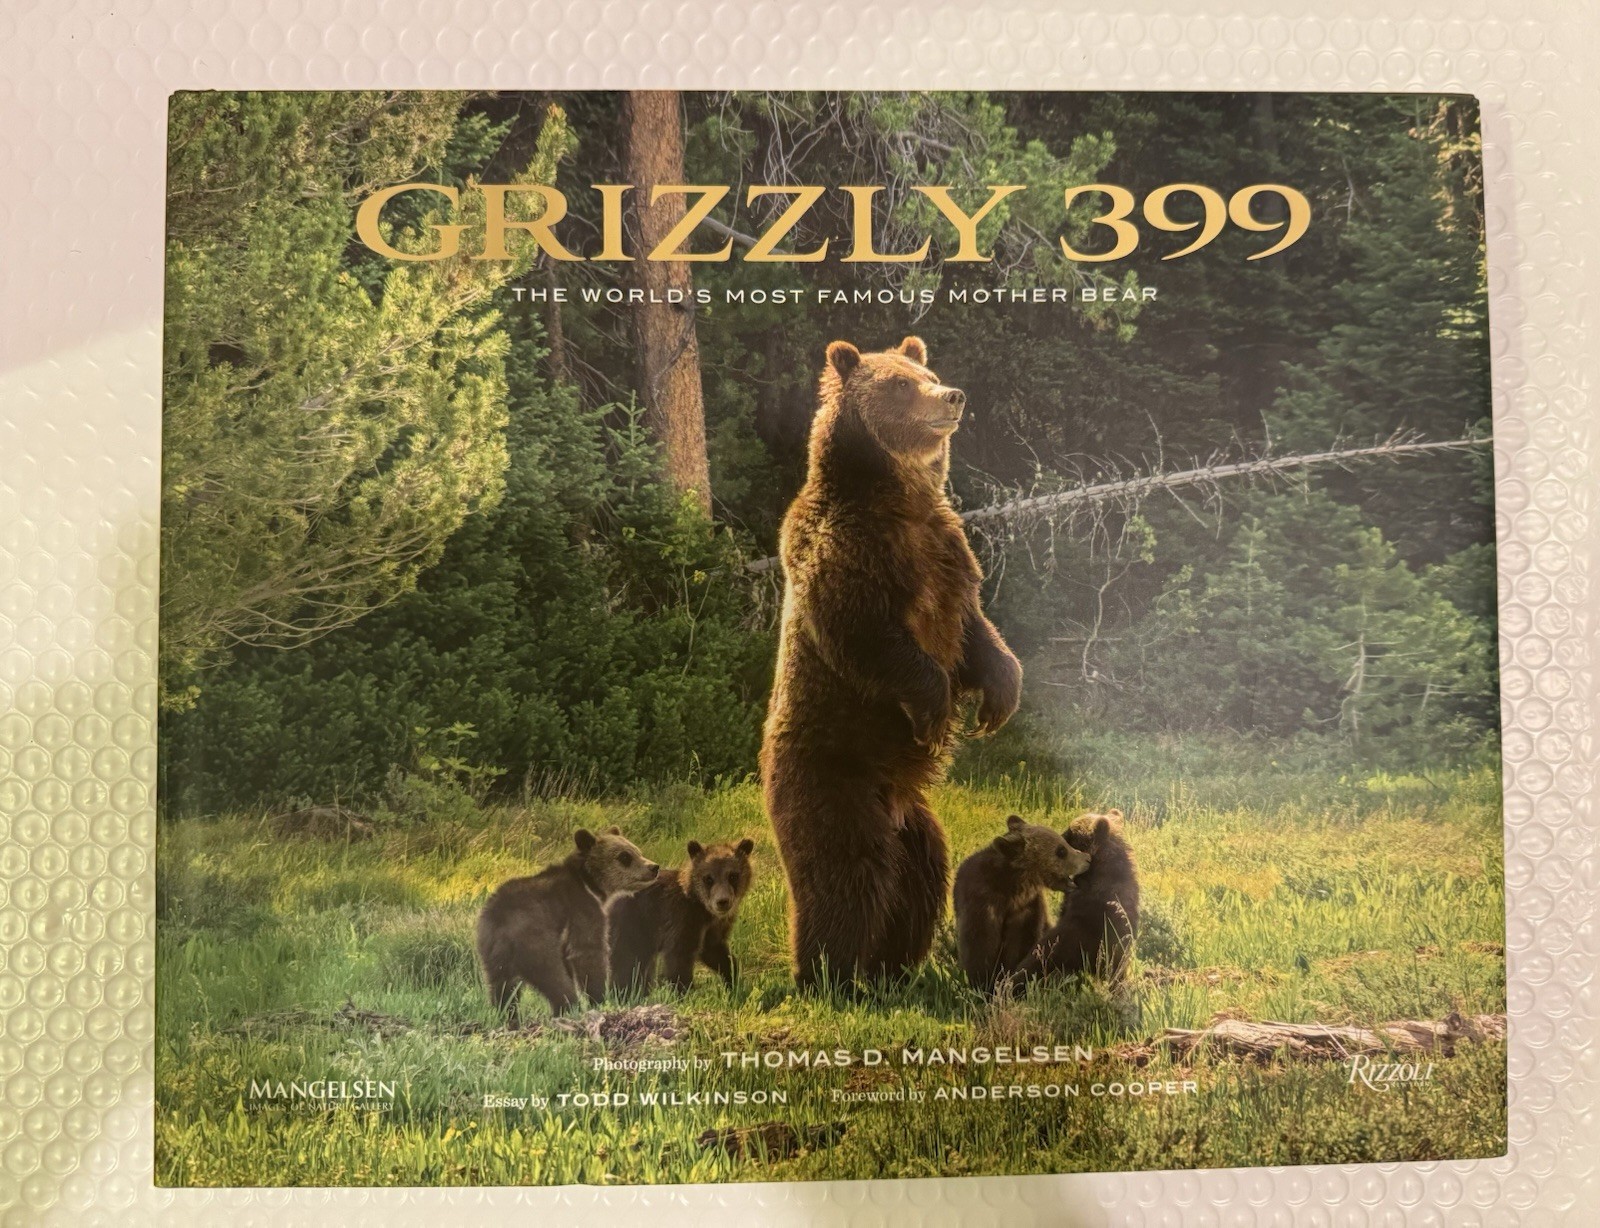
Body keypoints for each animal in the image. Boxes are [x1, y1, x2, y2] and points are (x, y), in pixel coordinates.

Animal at [476, 825, 660, 1021]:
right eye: (624, 857)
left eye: (637, 850)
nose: (653, 867)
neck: (590, 884)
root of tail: (500, 923)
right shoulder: (581, 909)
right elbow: (588, 953)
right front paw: (600, 998)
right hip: (535, 940)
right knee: (553, 977)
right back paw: (567, 1007)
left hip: (491, 952)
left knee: (502, 986)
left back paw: (508, 1015)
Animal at [608, 837, 756, 994]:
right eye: (708, 878)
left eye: (733, 876)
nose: (722, 901)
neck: (702, 908)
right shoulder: (680, 918)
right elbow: (678, 959)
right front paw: (683, 991)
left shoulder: (713, 928)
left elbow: (716, 953)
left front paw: (734, 982)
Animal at [760, 336, 1023, 989]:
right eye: (900, 385)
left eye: (928, 372)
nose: (952, 395)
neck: (897, 497)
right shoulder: (848, 554)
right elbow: (871, 638)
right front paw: (935, 708)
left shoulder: (948, 552)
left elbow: (977, 631)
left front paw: (999, 700)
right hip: (831, 780)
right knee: (846, 876)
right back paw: (830, 975)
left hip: (916, 826)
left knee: (920, 878)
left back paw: (895, 968)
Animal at [954, 814, 1091, 993]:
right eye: (1061, 850)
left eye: (1064, 842)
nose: (1088, 859)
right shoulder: (982, 903)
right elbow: (979, 947)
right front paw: (983, 985)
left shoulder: (1027, 909)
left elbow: (1022, 946)